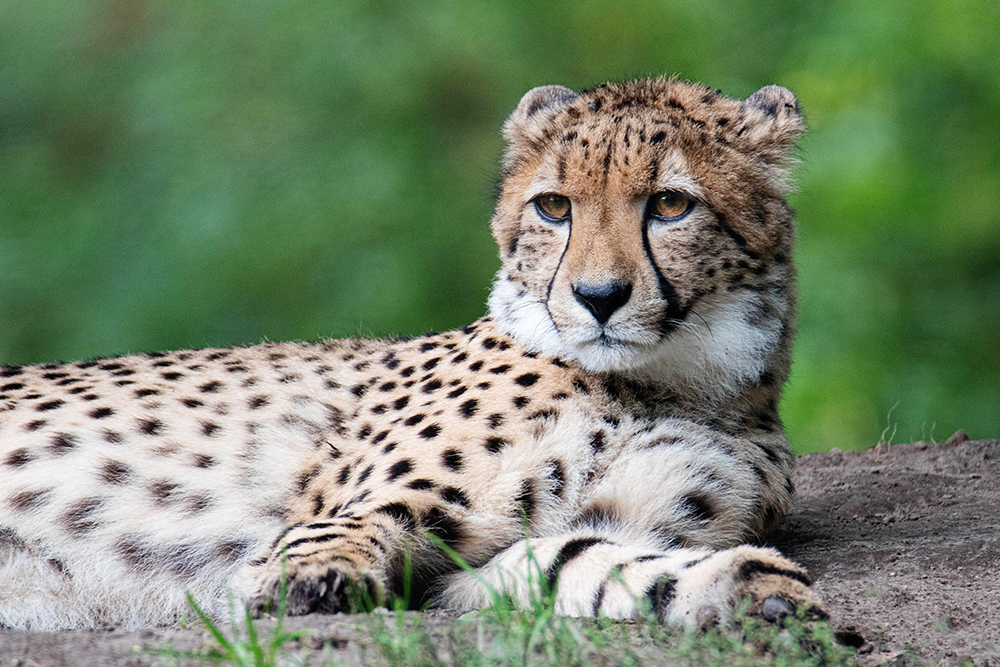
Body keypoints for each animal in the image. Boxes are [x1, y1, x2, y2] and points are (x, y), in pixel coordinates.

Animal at [0, 78, 820, 632]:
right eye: (554, 207)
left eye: (671, 205)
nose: (598, 296)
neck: (668, 381)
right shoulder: (347, 511)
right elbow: (342, 530)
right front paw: (308, 577)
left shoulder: (473, 572)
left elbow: (581, 559)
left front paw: (741, 585)